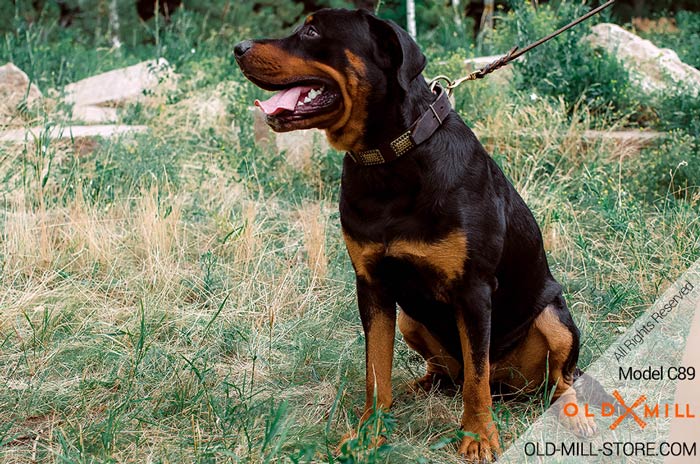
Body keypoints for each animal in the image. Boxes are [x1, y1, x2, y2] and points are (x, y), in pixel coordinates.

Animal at [237, 9, 596, 462]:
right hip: (410, 318)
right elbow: (376, 370)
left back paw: (573, 412)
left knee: (547, 379)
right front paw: (370, 431)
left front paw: (479, 437)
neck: (391, 158)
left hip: (554, 318)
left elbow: (476, 381)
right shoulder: (372, 284)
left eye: (313, 31)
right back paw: (416, 388)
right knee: (450, 373)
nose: (239, 47)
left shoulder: (474, 289)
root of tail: (508, 385)